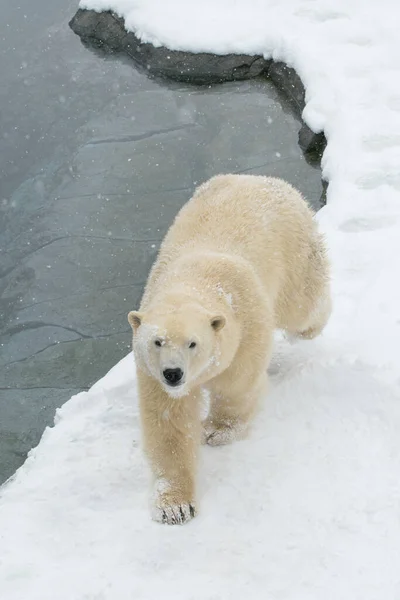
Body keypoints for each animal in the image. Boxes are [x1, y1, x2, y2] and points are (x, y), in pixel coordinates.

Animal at [128, 173, 332, 524]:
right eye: (157, 341)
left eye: (193, 343)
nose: (173, 373)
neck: (194, 279)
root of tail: (262, 179)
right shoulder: (151, 373)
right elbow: (169, 422)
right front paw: (175, 507)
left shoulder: (245, 329)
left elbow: (236, 385)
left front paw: (216, 430)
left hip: (294, 253)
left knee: (302, 306)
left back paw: (310, 326)